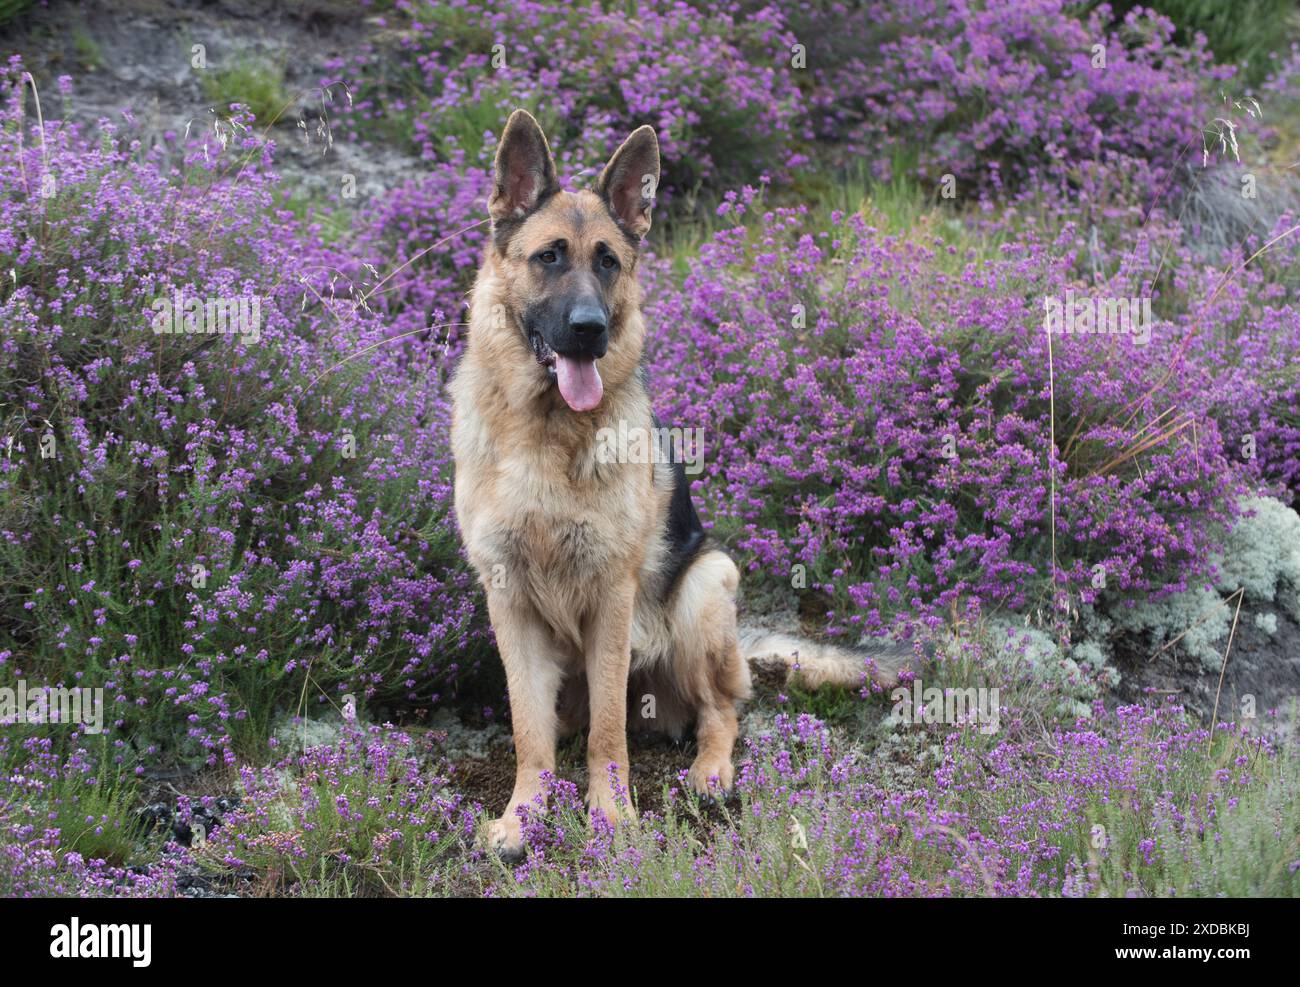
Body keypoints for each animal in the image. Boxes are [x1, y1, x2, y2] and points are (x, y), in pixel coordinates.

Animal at [452, 111, 909, 863]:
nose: (590, 332)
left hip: (703, 589)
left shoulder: (610, 597)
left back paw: (710, 773)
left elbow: (611, 729)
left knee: (720, 711)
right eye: (549, 257)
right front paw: (524, 815)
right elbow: (528, 730)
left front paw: (612, 815)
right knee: (575, 719)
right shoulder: (508, 600)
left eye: (608, 261)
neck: (549, 431)